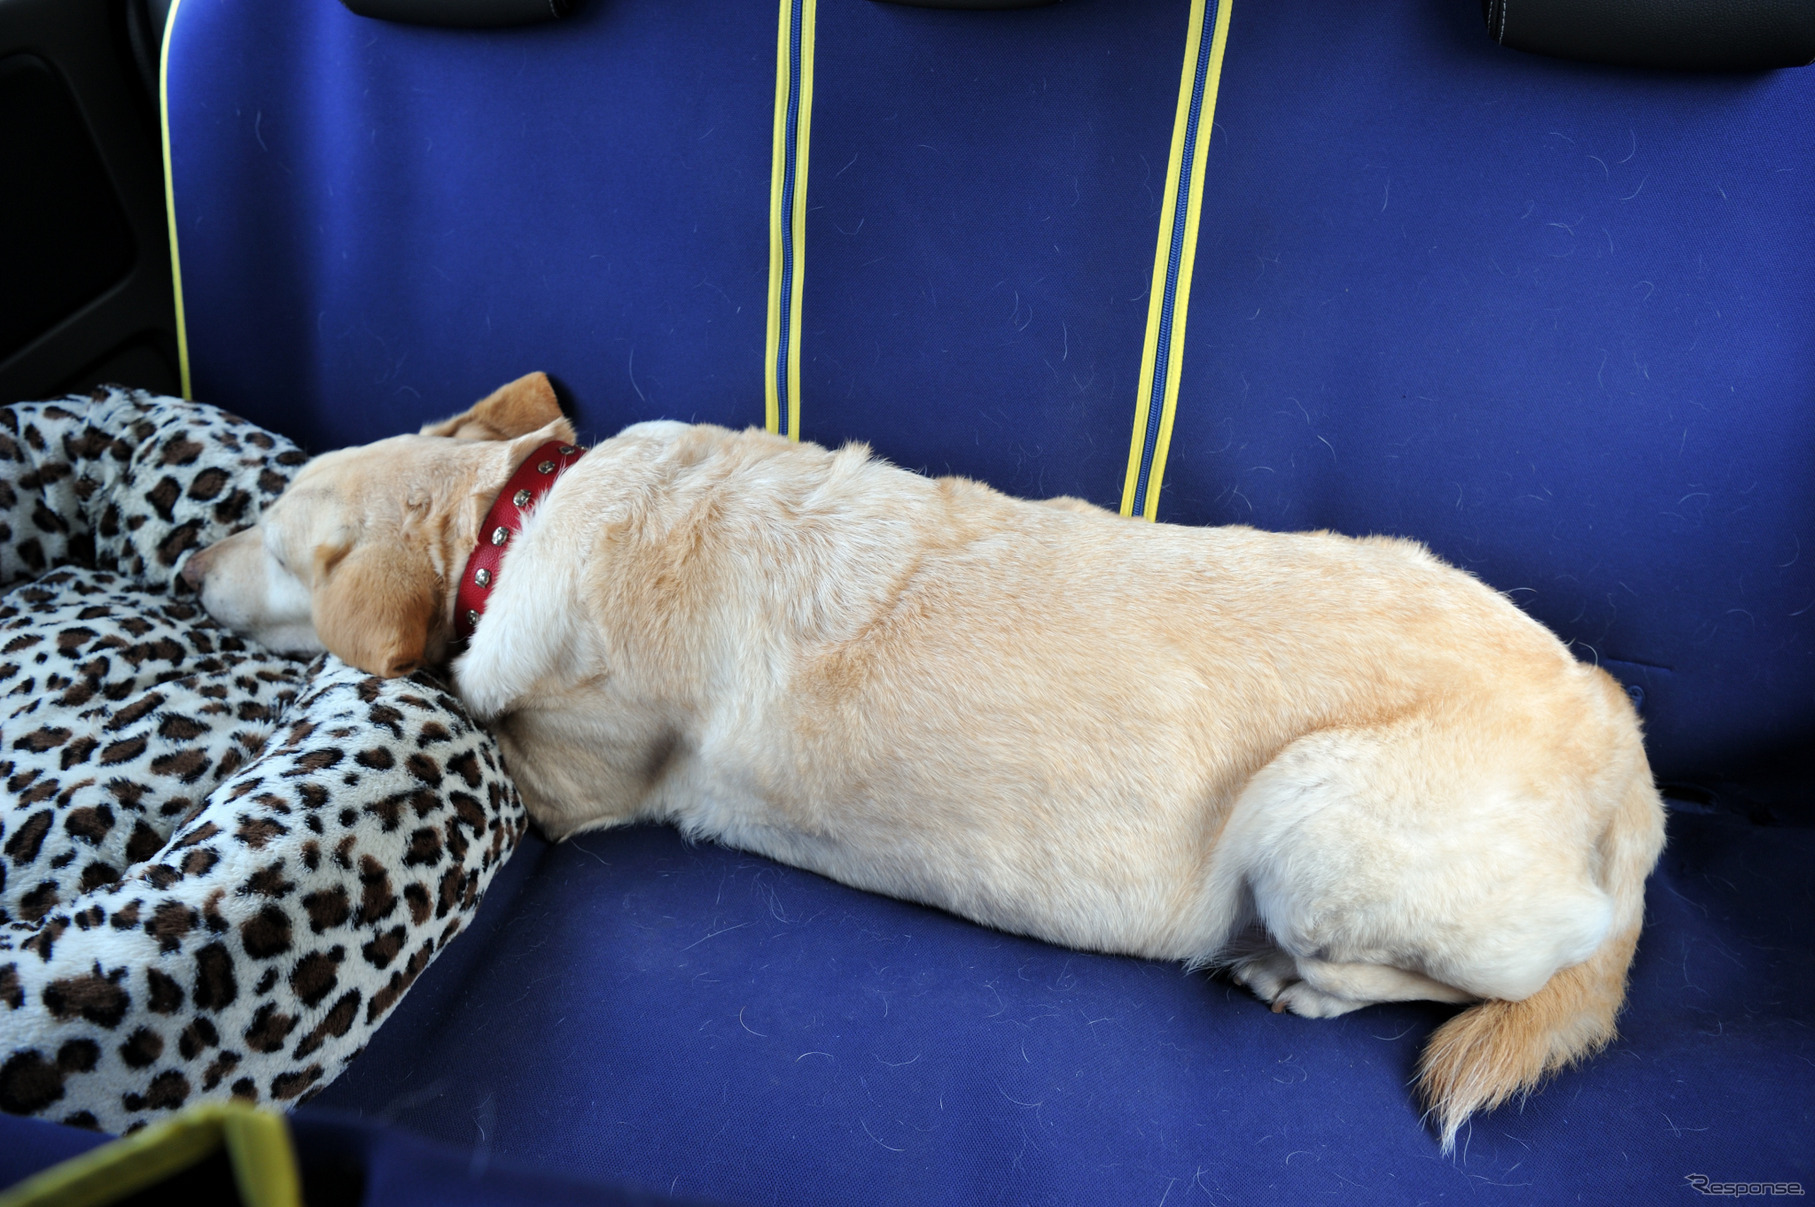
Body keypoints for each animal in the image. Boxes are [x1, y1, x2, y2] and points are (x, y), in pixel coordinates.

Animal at [180, 372, 1662, 1147]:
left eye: (271, 531)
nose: (187, 565)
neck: (521, 516)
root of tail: (1632, 775)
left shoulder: (568, 781)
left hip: (1309, 813)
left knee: (1450, 978)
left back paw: (1284, 976)